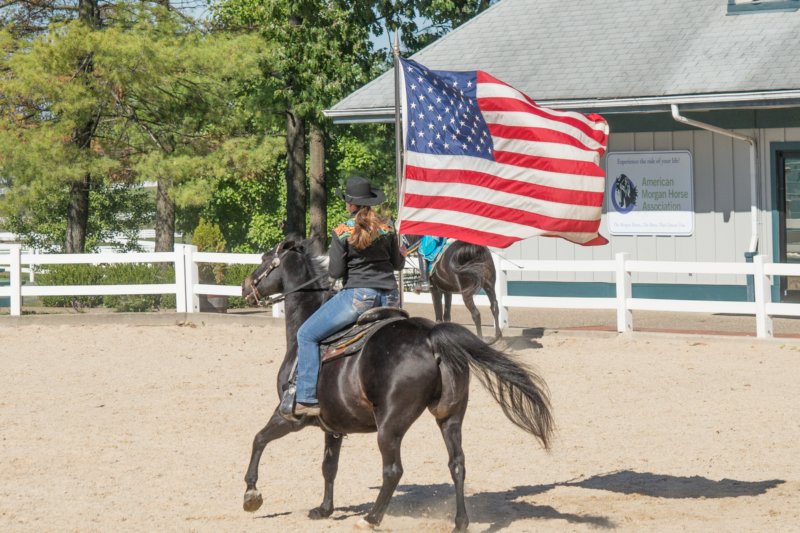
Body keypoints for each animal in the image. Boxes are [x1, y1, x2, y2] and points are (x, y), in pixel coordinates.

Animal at [241, 239, 552, 528]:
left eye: (264, 260)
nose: (245, 287)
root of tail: (431, 336)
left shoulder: (290, 416)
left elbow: (258, 439)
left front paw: (251, 494)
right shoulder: (334, 425)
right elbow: (329, 466)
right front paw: (324, 509)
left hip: (390, 425)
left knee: (393, 470)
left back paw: (371, 518)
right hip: (450, 416)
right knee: (457, 464)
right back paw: (460, 522)